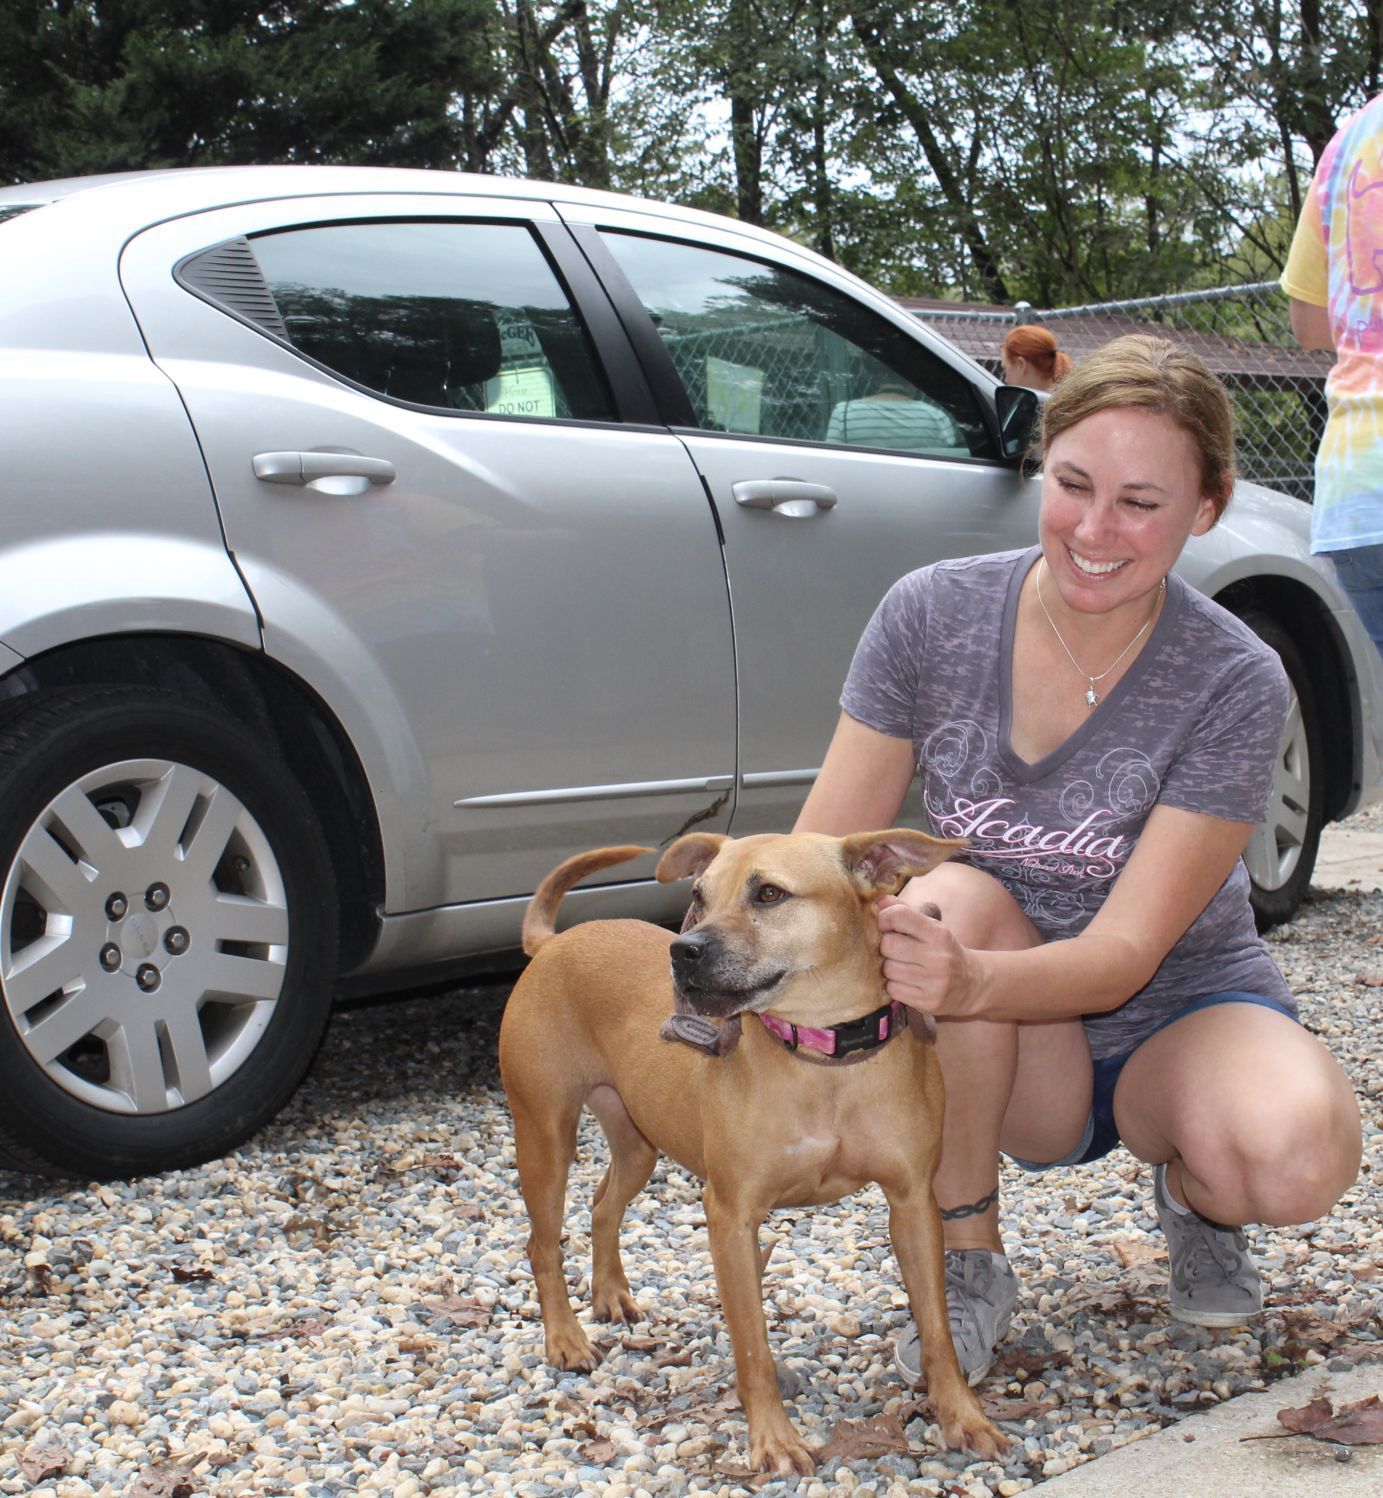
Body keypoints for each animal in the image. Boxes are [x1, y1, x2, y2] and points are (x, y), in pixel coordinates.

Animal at [497, 832, 1006, 1474]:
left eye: (769, 894)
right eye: (698, 895)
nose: (682, 951)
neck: (822, 1058)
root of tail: (554, 943)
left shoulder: (913, 1203)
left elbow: (937, 1328)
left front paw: (963, 1416)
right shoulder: (731, 1219)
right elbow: (753, 1345)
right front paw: (774, 1440)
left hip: (638, 1143)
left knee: (603, 1204)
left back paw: (610, 1292)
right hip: (545, 1136)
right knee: (541, 1244)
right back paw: (564, 1338)